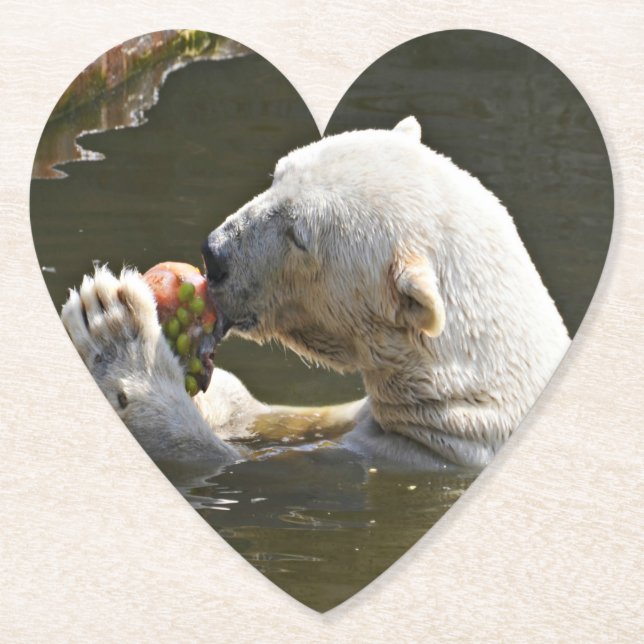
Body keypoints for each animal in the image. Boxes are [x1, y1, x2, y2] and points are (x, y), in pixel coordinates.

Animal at [62, 116, 570, 469]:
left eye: (298, 234)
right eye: (277, 174)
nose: (215, 254)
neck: (465, 396)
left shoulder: (405, 454)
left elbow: (235, 464)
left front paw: (113, 329)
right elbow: (275, 416)